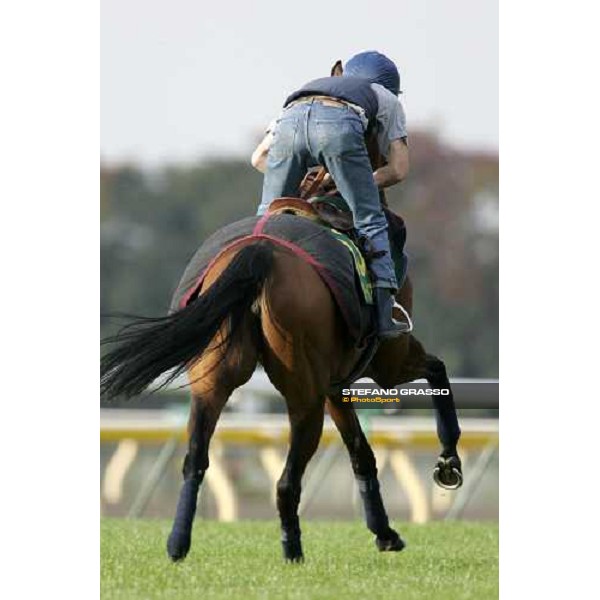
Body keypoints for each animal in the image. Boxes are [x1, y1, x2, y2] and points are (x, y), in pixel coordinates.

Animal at [101, 61, 462, 564]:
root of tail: (261, 254)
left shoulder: (335, 383)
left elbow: (361, 452)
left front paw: (385, 532)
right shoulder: (386, 361)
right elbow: (437, 372)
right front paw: (448, 463)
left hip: (216, 379)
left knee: (195, 460)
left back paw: (178, 543)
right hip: (302, 393)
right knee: (286, 480)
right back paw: (292, 549)